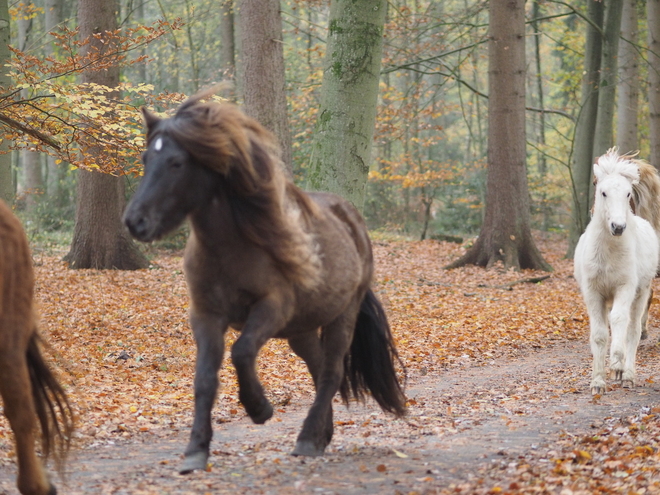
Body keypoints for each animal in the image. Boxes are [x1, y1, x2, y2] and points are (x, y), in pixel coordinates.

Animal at [121, 87, 404, 474]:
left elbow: (241, 353)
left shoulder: (272, 308)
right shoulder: (205, 315)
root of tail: (352, 221)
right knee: (318, 369)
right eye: (146, 158)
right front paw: (196, 450)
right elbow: (204, 379)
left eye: (177, 163)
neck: (230, 248)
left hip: (341, 316)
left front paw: (259, 408)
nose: (135, 222)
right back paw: (321, 435)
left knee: (331, 372)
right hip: (301, 329)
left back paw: (307, 439)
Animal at [576, 151, 656, 396]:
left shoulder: (625, 288)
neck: (607, 253)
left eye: (628, 193)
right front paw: (597, 382)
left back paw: (627, 376)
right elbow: (600, 334)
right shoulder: (594, 293)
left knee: (633, 330)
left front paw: (617, 366)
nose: (618, 227)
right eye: (603, 192)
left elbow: (620, 320)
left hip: (641, 292)